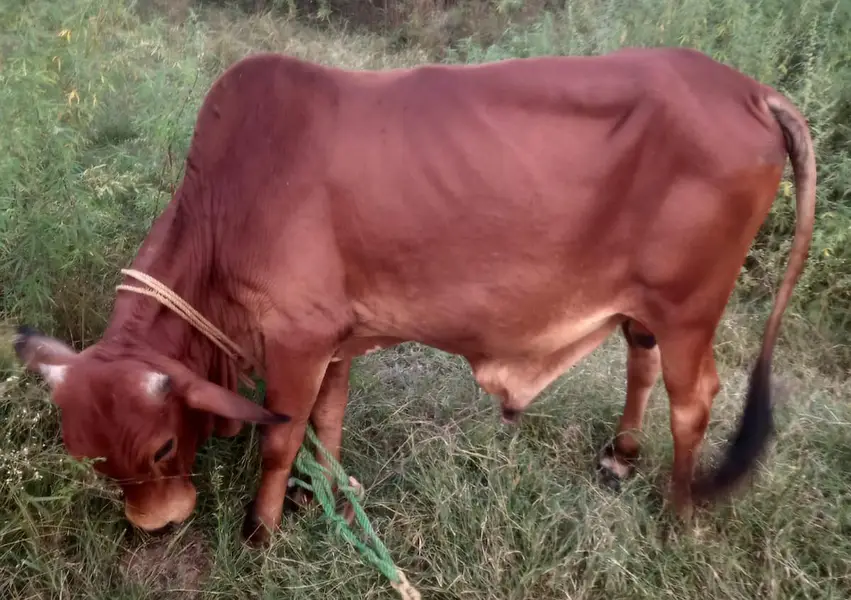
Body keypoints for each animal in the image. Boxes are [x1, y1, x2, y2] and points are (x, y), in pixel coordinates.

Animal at [13, 46, 815, 546]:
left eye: (161, 446)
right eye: (85, 455)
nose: (156, 525)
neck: (227, 203)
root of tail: (748, 90)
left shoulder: (298, 336)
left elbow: (279, 439)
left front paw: (260, 531)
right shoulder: (334, 336)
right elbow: (326, 422)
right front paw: (318, 495)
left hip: (688, 308)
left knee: (695, 400)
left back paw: (677, 512)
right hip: (646, 307)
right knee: (640, 362)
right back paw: (619, 456)